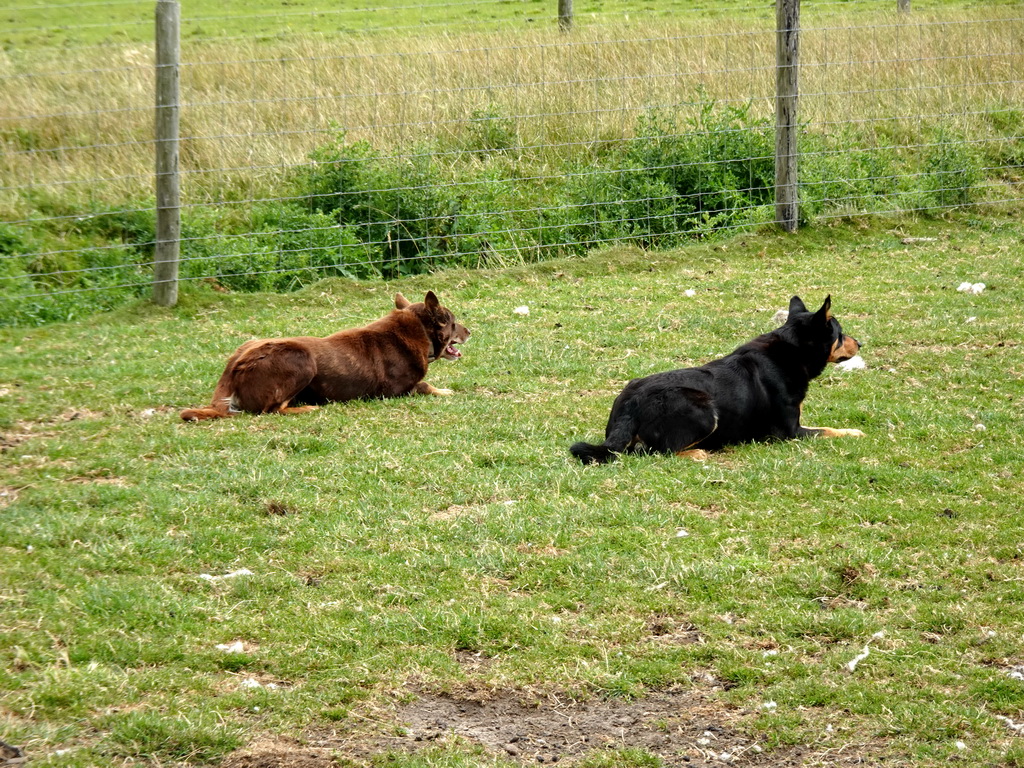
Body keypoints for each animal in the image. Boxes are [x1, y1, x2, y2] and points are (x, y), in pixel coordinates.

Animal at [182, 290, 468, 421]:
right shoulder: (394, 391)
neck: (416, 332)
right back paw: (307, 407)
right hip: (301, 358)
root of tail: (234, 367)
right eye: (453, 323)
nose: (470, 331)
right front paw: (446, 391)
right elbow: (425, 385)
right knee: (272, 409)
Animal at [569, 294, 864, 462]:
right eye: (840, 333)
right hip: (704, 411)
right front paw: (854, 432)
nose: (860, 343)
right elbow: (828, 430)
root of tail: (630, 404)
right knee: (655, 451)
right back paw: (696, 452)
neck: (792, 351)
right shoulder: (789, 432)